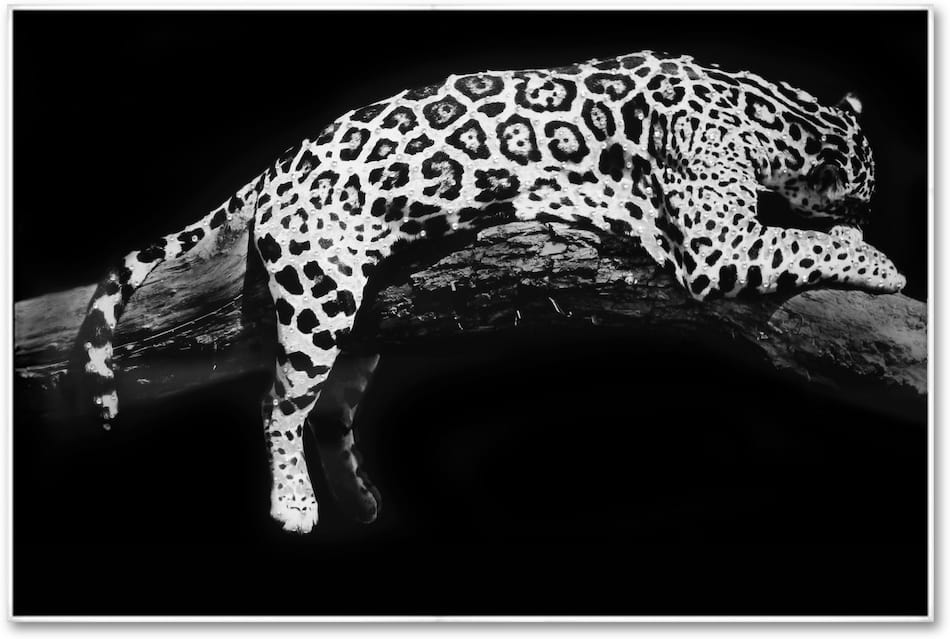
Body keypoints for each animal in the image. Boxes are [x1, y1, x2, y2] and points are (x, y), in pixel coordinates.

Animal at [71, 50, 905, 533]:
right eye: (866, 191)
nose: (870, 211)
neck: (764, 104)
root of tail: (279, 160)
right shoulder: (716, 244)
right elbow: (797, 242)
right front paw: (877, 259)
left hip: (361, 313)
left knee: (333, 408)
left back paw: (360, 499)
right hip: (318, 293)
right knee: (279, 402)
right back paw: (295, 503)